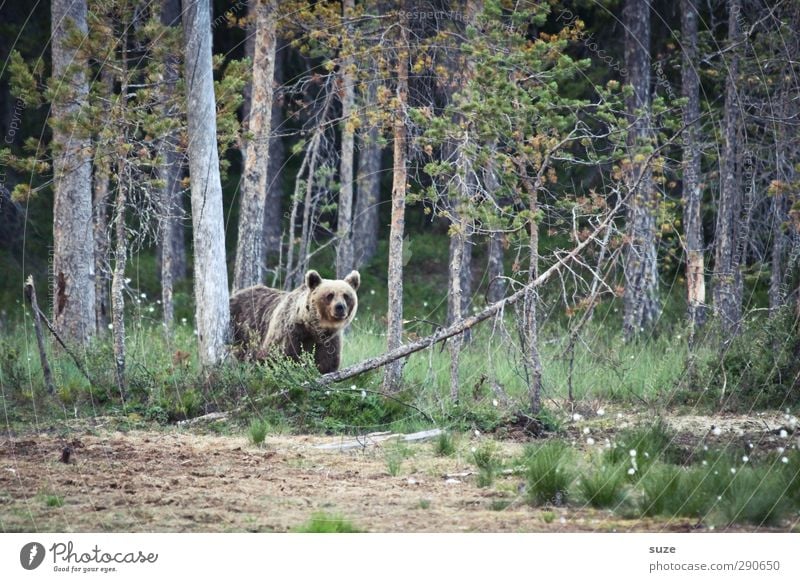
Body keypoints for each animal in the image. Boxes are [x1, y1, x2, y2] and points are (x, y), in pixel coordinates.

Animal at [228, 270, 360, 374]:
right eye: (330, 295)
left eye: (346, 295)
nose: (340, 307)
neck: (312, 330)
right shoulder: (290, 334)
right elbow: (273, 358)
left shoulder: (329, 343)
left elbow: (326, 364)